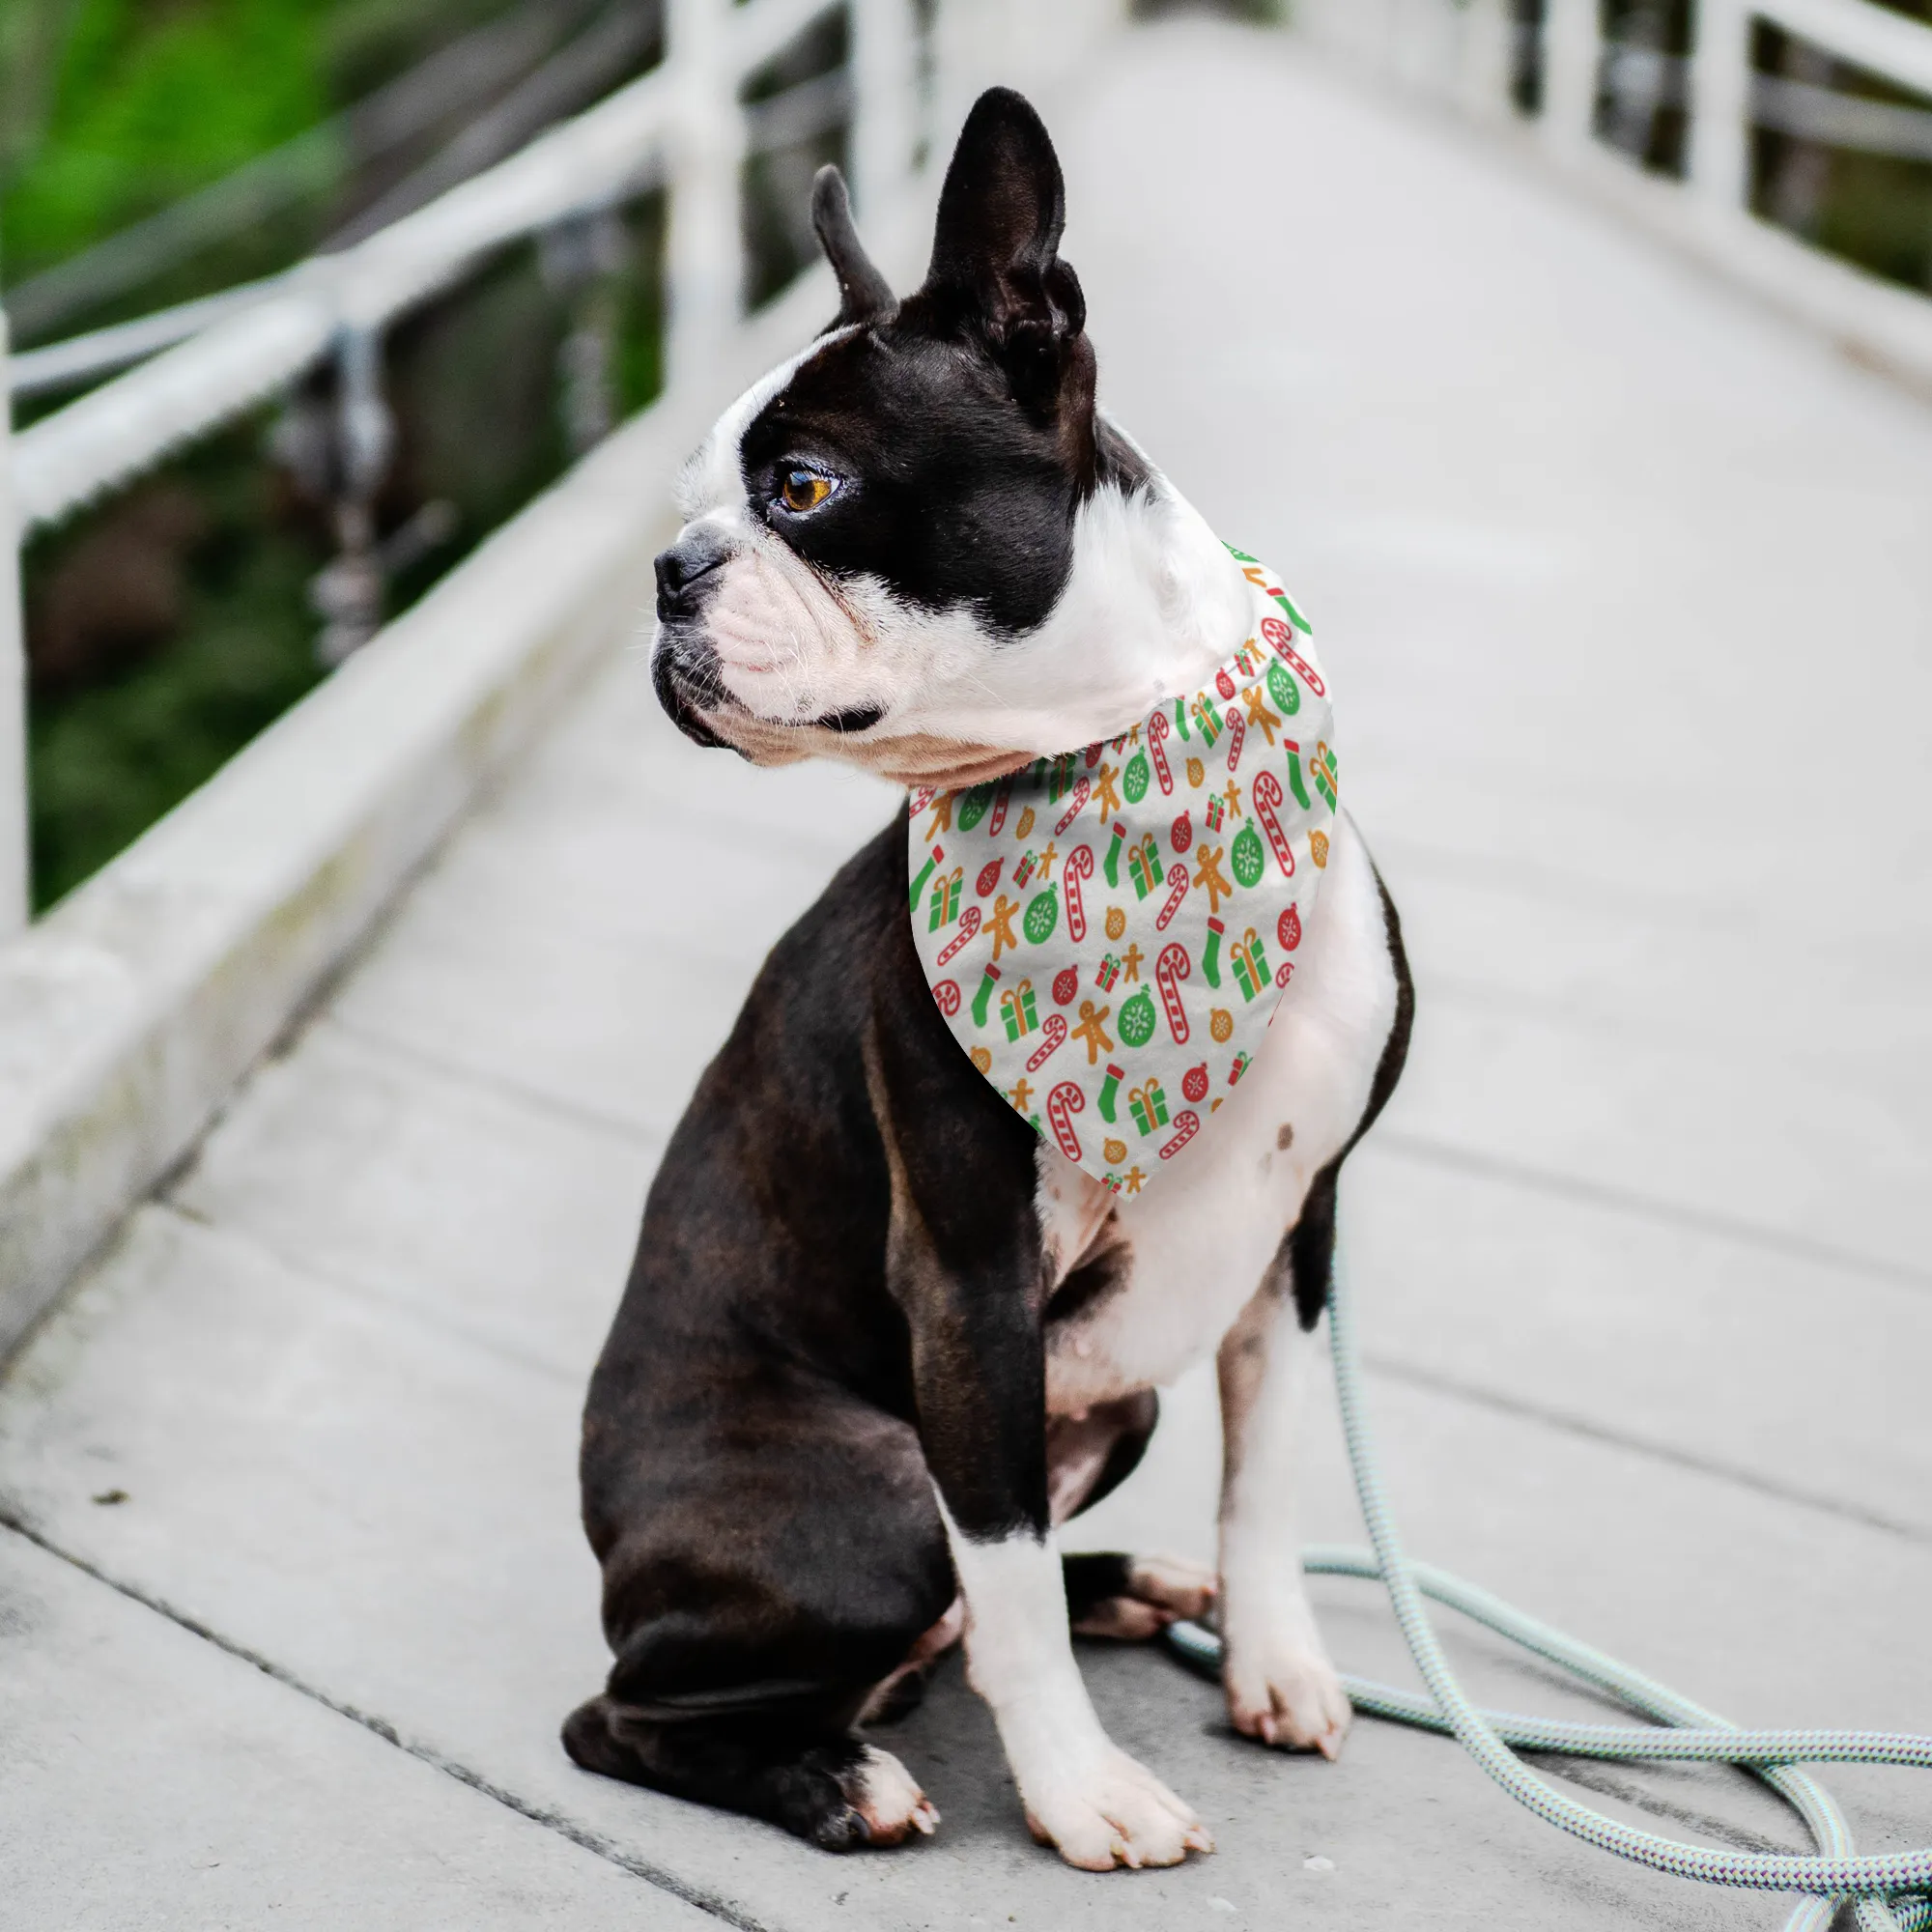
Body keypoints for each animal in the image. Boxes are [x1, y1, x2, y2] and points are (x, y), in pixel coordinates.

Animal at [564, 91, 1414, 1870]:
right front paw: (1083, 1792)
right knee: (640, 1709)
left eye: (804, 486)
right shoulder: (968, 1282)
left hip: (1112, 1408)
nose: (669, 572)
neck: (1119, 767)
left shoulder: (1298, 1240)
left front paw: (1275, 1658)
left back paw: (1134, 1587)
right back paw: (838, 1777)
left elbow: (1267, 1480)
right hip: (876, 1495)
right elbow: (1005, 1574)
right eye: (697, 500)